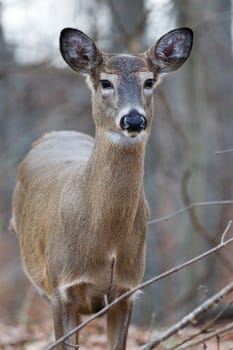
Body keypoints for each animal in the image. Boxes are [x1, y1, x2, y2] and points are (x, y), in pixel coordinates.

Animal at [10, 26, 193, 348]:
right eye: (105, 82)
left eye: (149, 81)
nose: (133, 119)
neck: (105, 242)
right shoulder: (61, 288)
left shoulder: (127, 290)